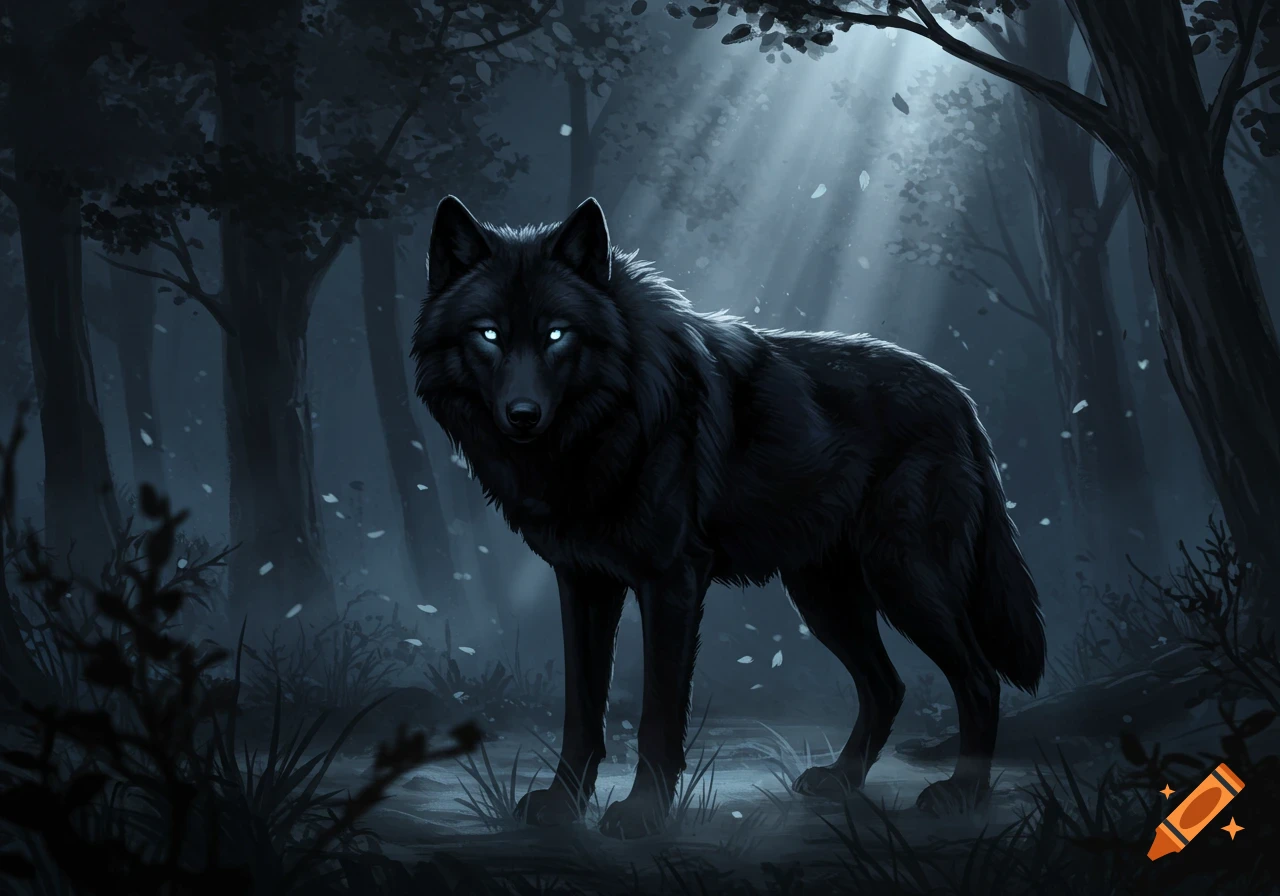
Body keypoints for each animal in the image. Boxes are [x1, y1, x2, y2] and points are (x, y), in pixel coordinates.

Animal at [412, 196, 1046, 839]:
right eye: (489, 335)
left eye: (556, 335)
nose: (522, 415)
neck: (609, 424)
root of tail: (959, 398)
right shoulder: (584, 583)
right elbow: (582, 712)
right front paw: (562, 805)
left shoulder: (671, 580)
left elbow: (658, 713)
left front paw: (642, 813)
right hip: (825, 599)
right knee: (885, 686)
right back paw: (840, 780)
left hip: (905, 580)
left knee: (978, 679)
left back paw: (962, 794)